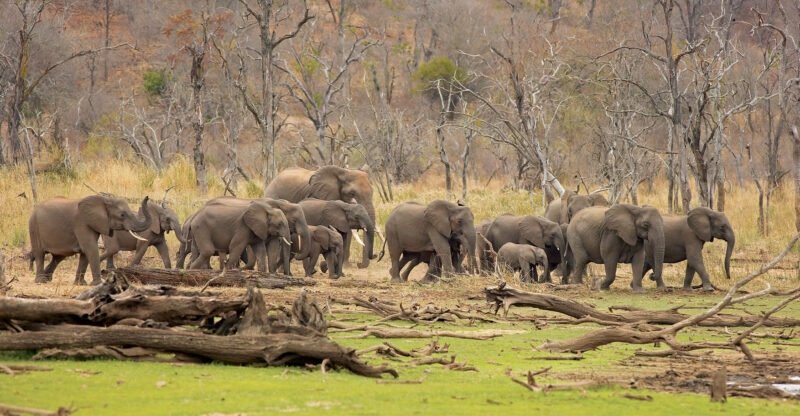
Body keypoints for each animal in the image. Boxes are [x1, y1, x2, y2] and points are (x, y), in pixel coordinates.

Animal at [182, 197, 310, 275]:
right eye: (294, 220)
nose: (287, 274)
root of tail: (194, 216)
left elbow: (270, 248)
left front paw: (268, 274)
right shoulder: (245, 227)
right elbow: (239, 246)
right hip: (202, 228)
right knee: (207, 251)